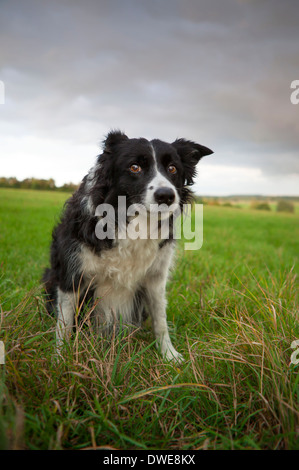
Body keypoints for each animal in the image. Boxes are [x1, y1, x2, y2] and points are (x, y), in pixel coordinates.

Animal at [42, 130, 213, 362]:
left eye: (172, 168)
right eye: (134, 167)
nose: (166, 196)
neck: (133, 222)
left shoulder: (155, 278)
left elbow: (160, 319)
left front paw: (169, 355)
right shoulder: (72, 274)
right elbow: (65, 325)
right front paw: (60, 359)